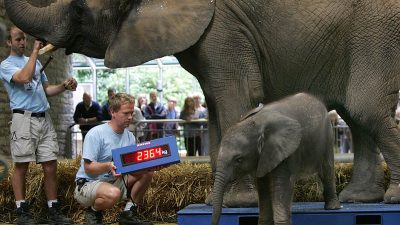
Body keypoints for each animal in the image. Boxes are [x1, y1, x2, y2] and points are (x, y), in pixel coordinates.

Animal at [5, 0, 400, 205]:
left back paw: (391, 197)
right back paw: (360, 198)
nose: (32, 46)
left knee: (365, 109)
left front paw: (239, 203)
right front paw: (215, 201)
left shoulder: (223, 27)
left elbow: (235, 98)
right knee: (356, 115)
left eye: (78, 9)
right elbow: (214, 108)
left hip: (375, 31)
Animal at [211, 92, 340, 225]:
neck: (256, 124)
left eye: (239, 160)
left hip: (327, 137)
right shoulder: (263, 157)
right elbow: (263, 187)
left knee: (327, 170)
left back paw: (332, 207)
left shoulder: (286, 152)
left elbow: (280, 186)